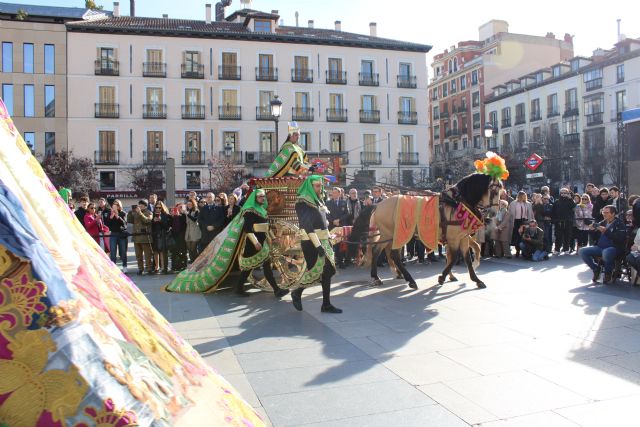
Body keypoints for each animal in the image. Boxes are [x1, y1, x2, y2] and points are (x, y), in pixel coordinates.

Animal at [348, 174, 502, 290]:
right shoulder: (453, 238)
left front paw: (476, 279)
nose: (494, 212)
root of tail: (378, 204)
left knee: (381, 252)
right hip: (392, 234)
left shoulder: (463, 237)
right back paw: (407, 280)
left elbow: (466, 258)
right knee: (390, 254)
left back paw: (381, 276)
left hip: (390, 235)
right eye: (494, 191)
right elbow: (454, 257)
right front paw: (442, 277)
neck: (457, 202)